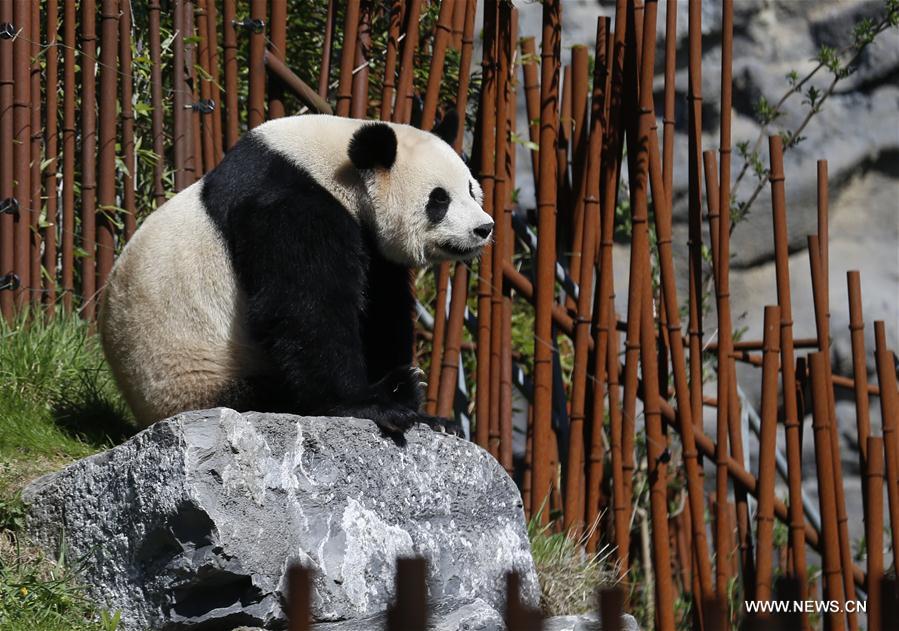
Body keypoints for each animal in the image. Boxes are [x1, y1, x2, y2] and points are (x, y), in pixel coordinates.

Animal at [99, 113, 492, 434]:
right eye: (439, 199)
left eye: (472, 189)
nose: (483, 228)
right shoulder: (287, 206)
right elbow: (307, 307)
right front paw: (373, 403)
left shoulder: (375, 248)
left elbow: (382, 310)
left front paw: (430, 417)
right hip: (201, 376)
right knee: (273, 395)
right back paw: (403, 386)